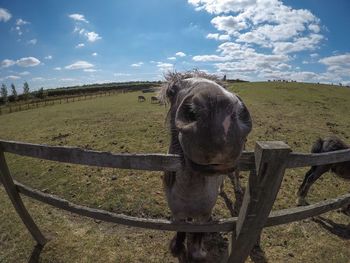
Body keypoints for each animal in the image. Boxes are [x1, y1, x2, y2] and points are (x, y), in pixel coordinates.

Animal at [161, 70, 252, 262]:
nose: (219, 119)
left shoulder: (203, 216)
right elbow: (180, 236)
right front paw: (178, 246)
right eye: (171, 91)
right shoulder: (178, 215)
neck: (190, 190)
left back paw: (238, 188)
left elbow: (197, 241)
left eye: (223, 86)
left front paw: (198, 251)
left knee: (235, 174)